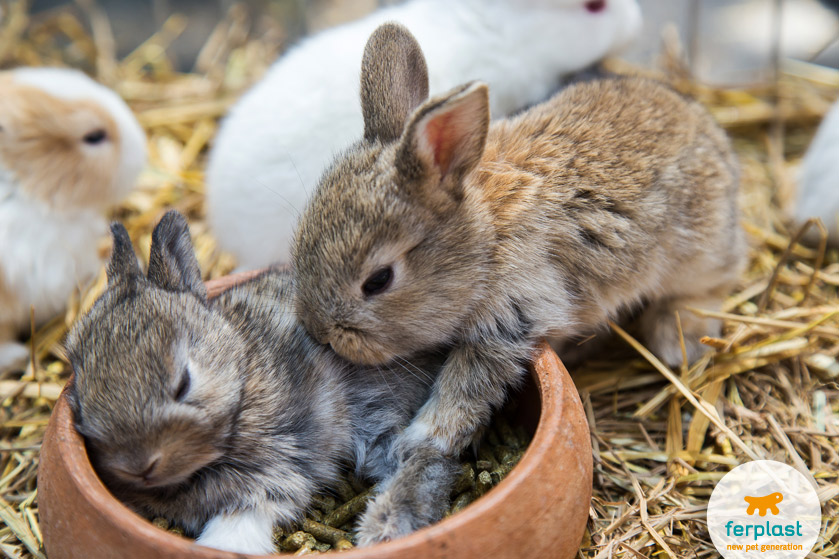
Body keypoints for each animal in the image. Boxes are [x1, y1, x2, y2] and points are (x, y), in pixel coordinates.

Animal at [65, 211, 460, 556]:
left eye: (183, 384)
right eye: (80, 397)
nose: (138, 466)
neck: (241, 382)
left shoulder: (277, 468)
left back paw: (387, 526)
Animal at [292, 23, 744, 460]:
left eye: (379, 280)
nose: (319, 333)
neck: (486, 240)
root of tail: (711, 132)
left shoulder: (510, 319)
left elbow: (467, 384)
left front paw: (422, 438)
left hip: (697, 254)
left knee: (714, 285)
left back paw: (677, 340)